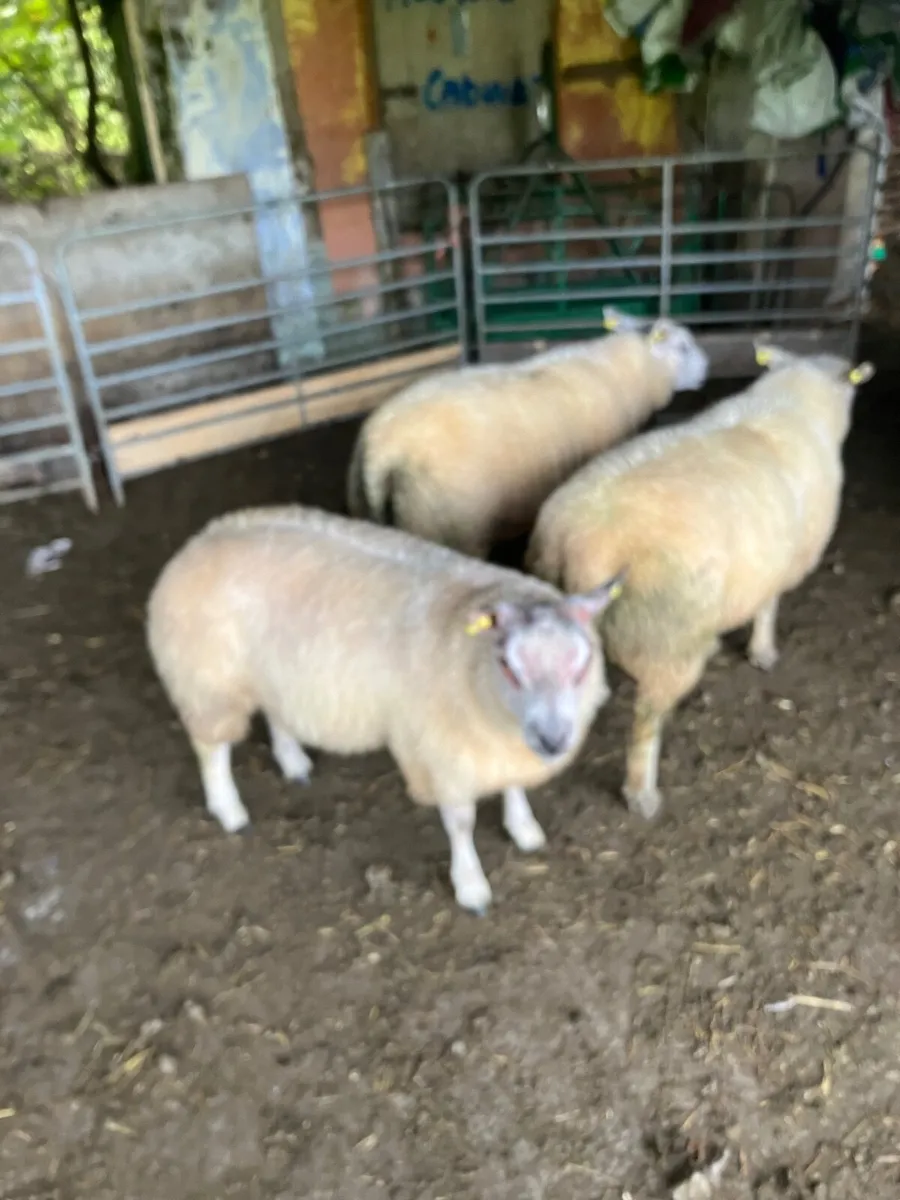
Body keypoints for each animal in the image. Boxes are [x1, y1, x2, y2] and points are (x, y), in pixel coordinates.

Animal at [146, 505, 623, 913]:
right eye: (508, 665)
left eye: (582, 664)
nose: (553, 740)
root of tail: (200, 540)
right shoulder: (442, 752)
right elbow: (461, 824)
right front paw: (471, 886)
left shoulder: (494, 746)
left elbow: (513, 785)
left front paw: (524, 829)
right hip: (209, 680)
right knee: (211, 750)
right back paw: (229, 809)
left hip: (276, 670)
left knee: (276, 713)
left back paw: (293, 761)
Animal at [526, 342, 875, 821]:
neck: (791, 402)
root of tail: (572, 539)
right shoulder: (778, 563)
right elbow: (768, 607)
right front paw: (763, 651)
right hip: (664, 637)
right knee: (646, 723)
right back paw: (642, 794)